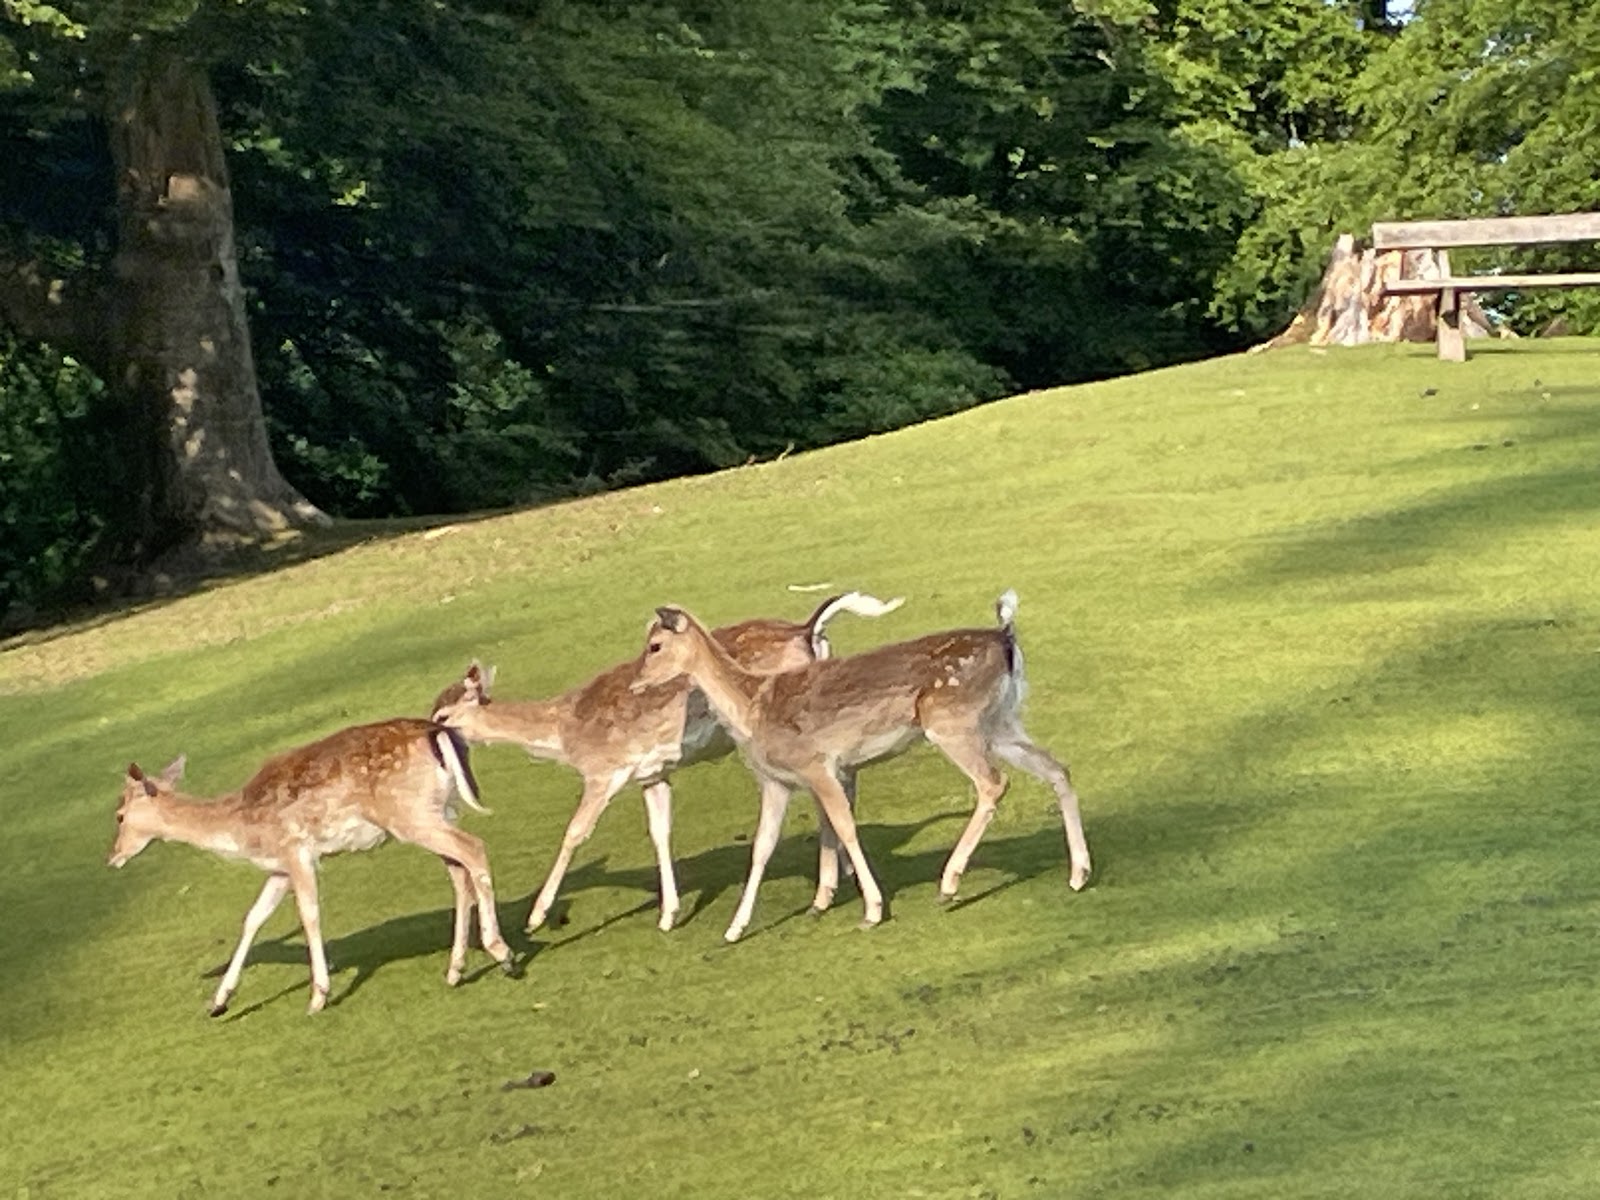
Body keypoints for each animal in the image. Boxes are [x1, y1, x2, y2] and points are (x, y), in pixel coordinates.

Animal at [106, 718, 514, 1016]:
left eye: (120, 815)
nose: (113, 856)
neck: (244, 831)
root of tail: (437, 733)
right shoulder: (279, 867)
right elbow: (253, 918)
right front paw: (219, 1001)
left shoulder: (297, 850)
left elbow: (309, 914)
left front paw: (318, 995)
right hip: (439, 810)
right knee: (459, 871)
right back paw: (456, 969)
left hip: (409, 815)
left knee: (474, 849)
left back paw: (502, 953)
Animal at [429, 591, 903, 935]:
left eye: (442, 716)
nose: (426, 735)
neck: (565, 732)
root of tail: (809, 630)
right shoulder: (651, 774)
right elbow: (660, 832)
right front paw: (669, 915)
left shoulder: (604, 770)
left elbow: (574, 832)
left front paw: (535, 917)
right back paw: (835, 882)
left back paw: (830, 889)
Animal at [631, 590, 1091, 942]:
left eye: (654, 646)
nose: (636, 683)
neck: (753, 708)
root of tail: (1006, 636)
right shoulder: (776, 781)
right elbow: (762, 847)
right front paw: (734, 929)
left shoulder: (819, 765)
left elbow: (846, 827)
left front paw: (872, 909)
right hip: (1001, 723)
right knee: (1058, 768)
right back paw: (1079, 873)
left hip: (952, 722)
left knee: (993, 783)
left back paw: (948, 883)